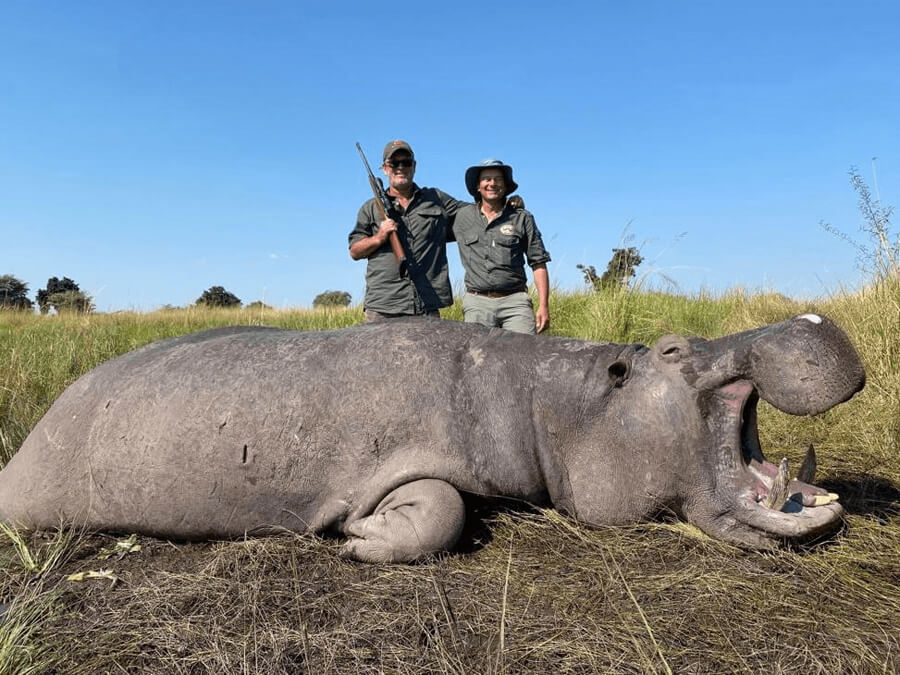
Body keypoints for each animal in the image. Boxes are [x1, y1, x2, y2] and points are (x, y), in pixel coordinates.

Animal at [0, 315, 864, 562]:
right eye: (675, 348)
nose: (810, 317)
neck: (554, 397)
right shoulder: (395, 463)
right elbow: (442, 510)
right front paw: (356, 538)